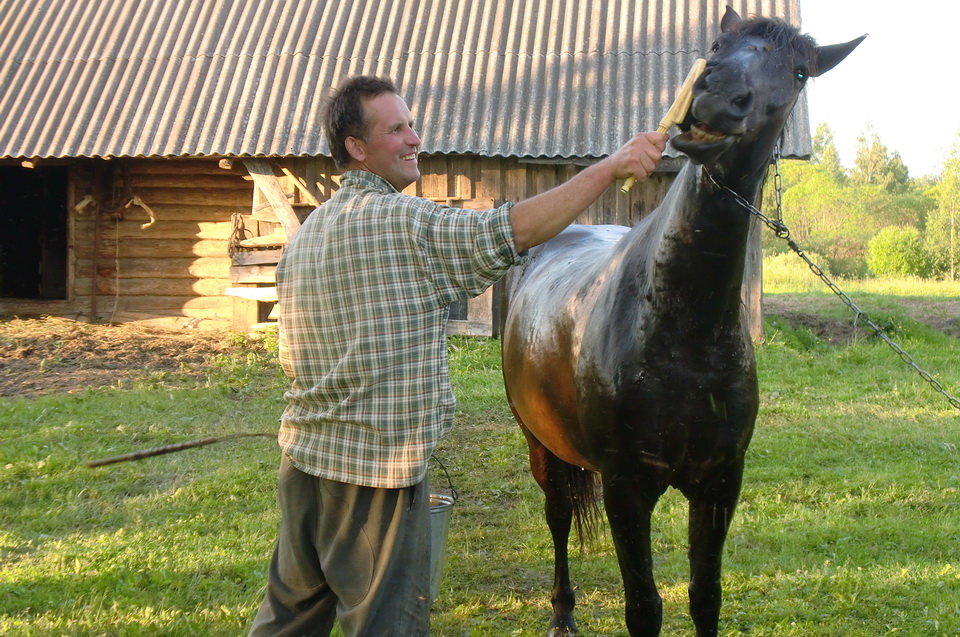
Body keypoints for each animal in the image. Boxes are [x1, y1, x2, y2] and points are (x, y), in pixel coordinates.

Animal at [502, 7, 864, 632]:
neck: (684, 333)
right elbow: (644, 607)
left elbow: (705, 594)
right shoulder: (627, 489)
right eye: (717, 43)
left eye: (799, 73)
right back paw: (562, 613)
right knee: (558, 518)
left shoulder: (719, 485)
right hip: (541, 446)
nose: (717, 97)